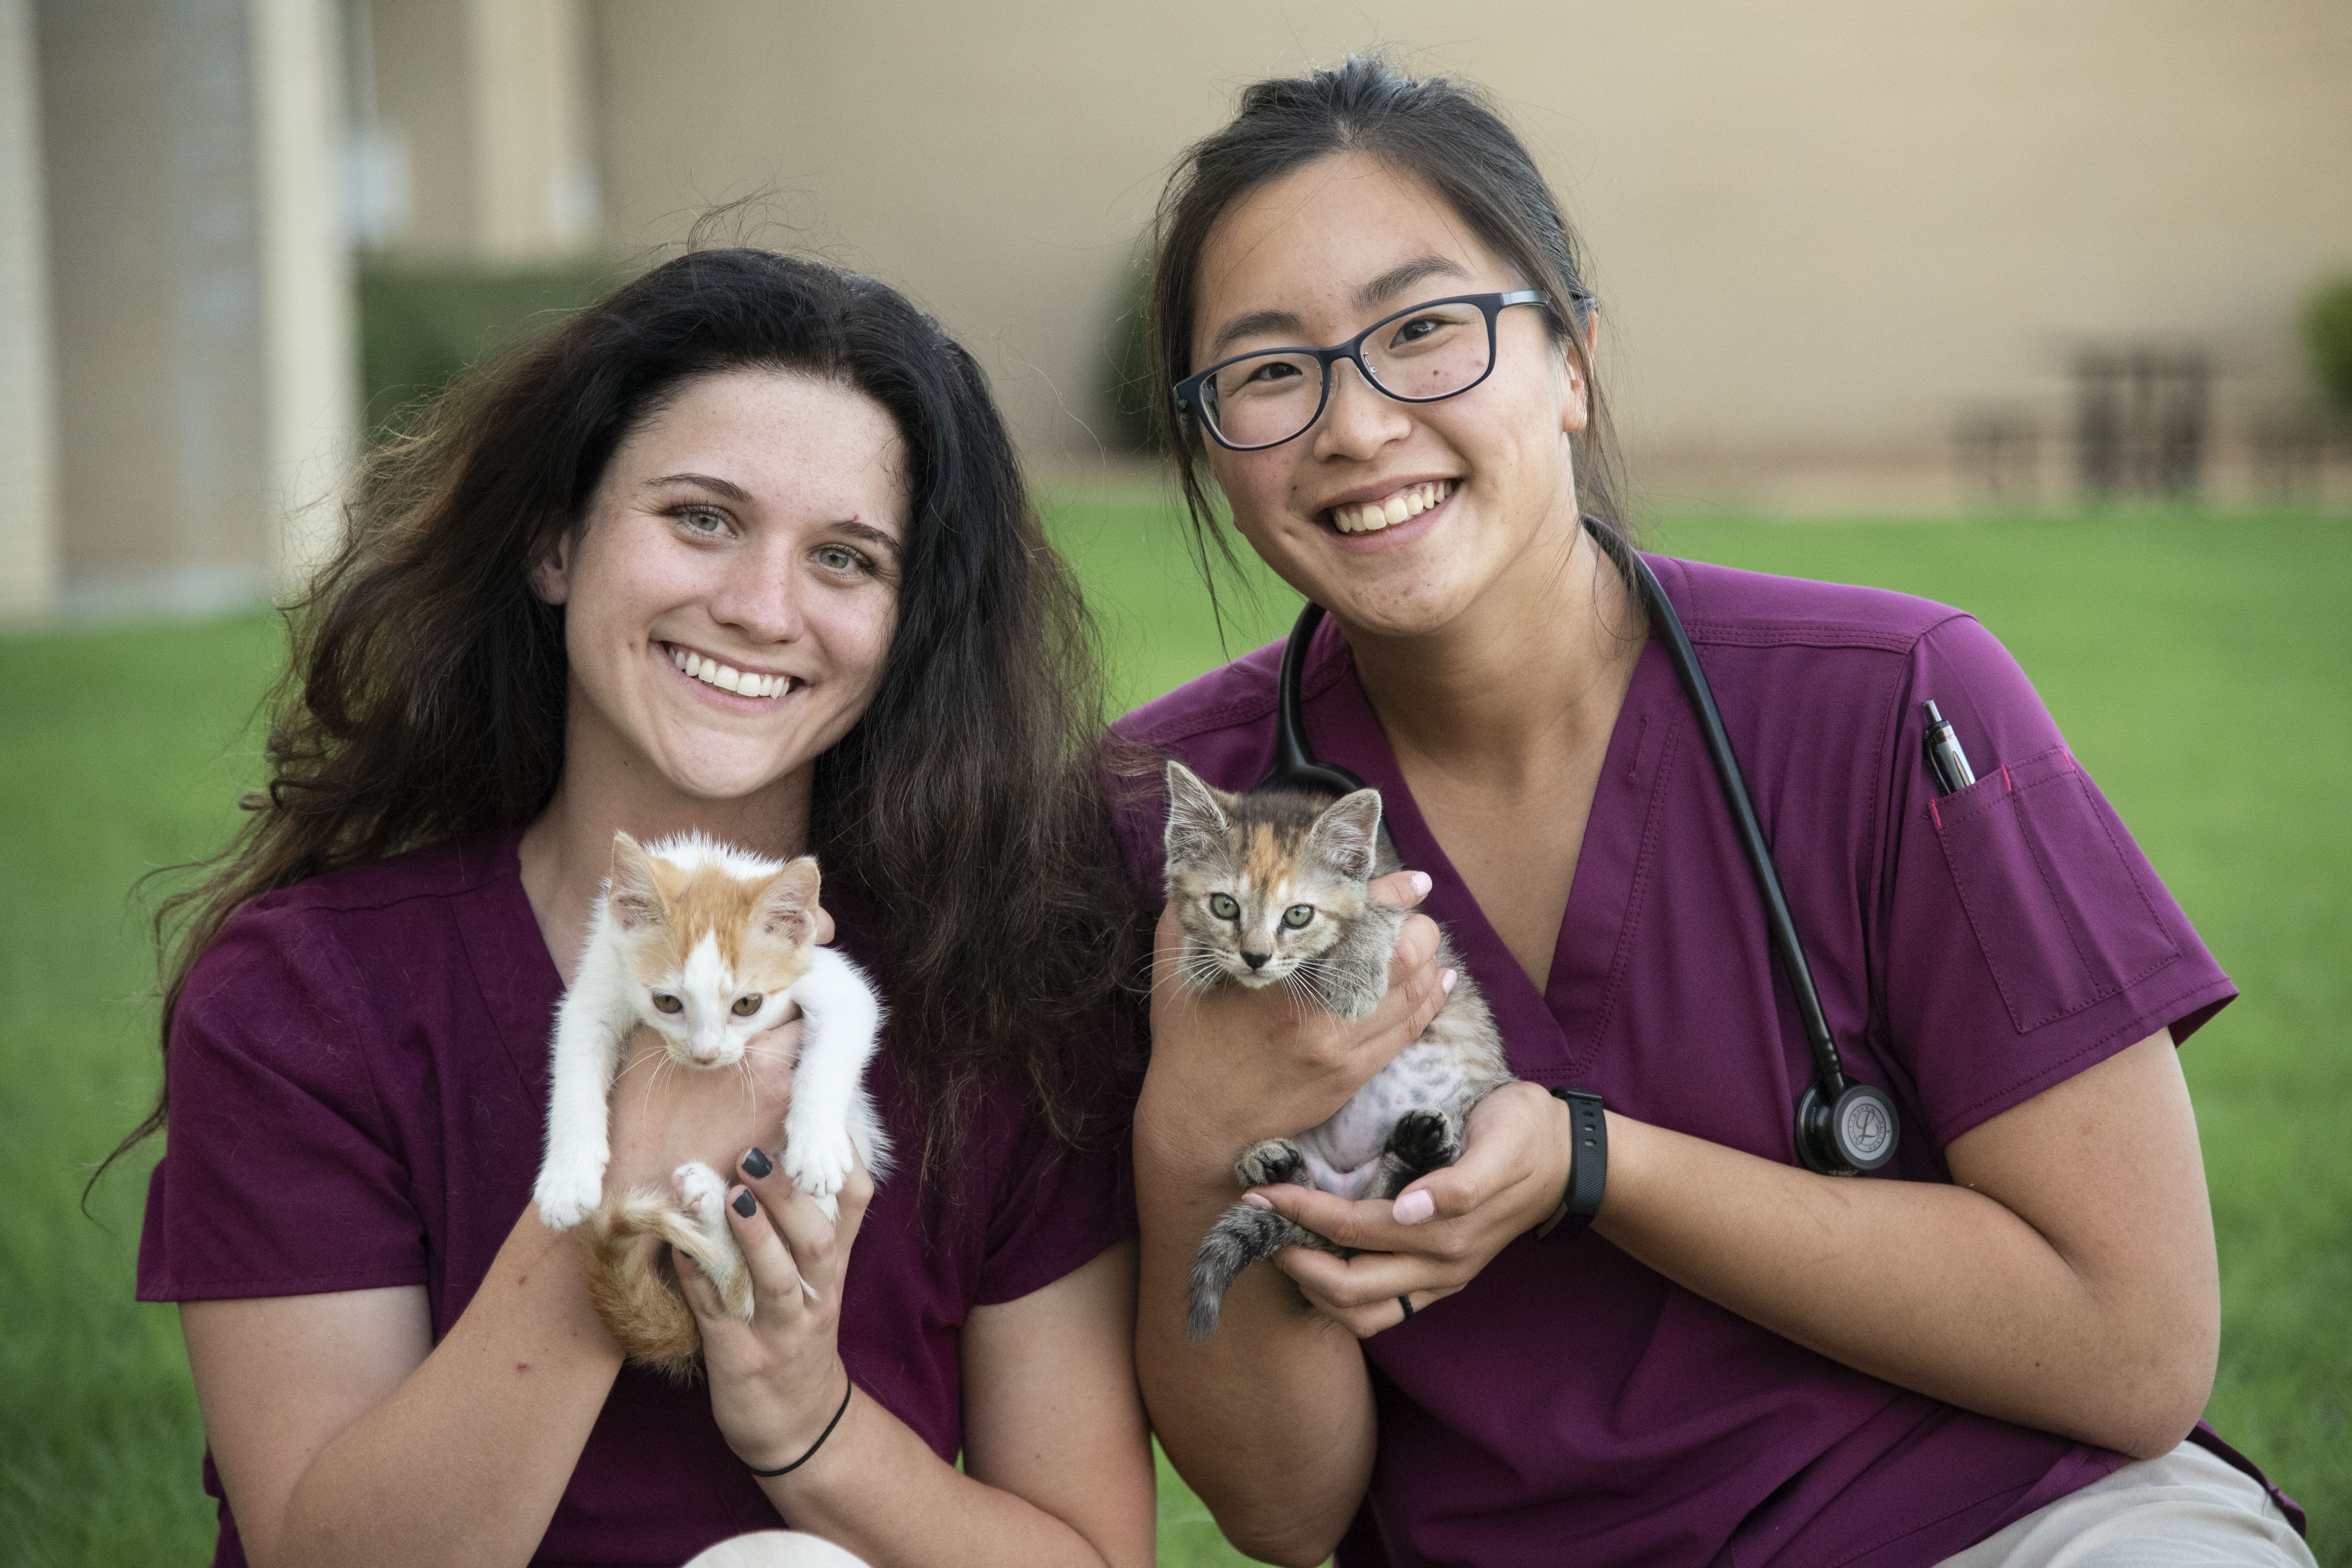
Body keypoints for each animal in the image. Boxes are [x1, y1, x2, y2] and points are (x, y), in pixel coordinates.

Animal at [534, 827, 889, 1382]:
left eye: (747, 1004)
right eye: (667, 1002)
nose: (705, 1053)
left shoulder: (829, 976)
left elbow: (838, 1042)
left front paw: (816, 1148)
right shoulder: (599, 981)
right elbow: (573, 1067)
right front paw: (567, 1178)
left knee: (750, 1296)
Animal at [1166, 761, 1515, 1335]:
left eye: (1298, 914)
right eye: (1225, 905)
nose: (1255, 956)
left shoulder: (1410, 908)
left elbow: (1378, 912)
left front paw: (1354, 972)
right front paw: (1197, 957)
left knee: (1390, 1207)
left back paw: (1418, 1153)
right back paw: (1275, 1165)